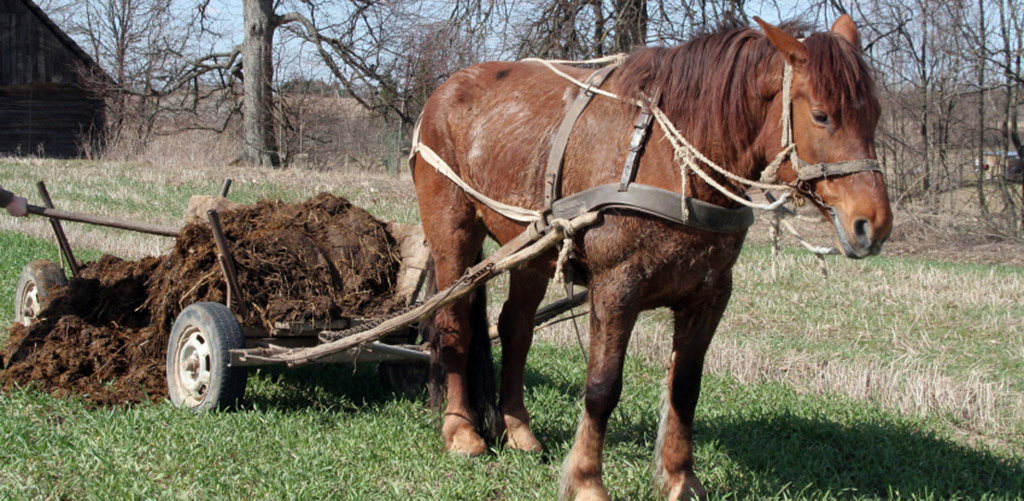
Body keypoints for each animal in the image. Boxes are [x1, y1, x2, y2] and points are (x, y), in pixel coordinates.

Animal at [411, 15, 892, 500]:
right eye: (821, 115)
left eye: (874, 113)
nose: (873, 223)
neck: (668, 158)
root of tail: (445, 89)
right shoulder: (615, 288)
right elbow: (602, 388)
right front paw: (586, 480)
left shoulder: (709, 294)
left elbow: (685, 388)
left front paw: (680, 478)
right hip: (452, 235)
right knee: (453, 326)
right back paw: (461, 430)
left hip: (533, 251)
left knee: (516, 329)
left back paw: (519, 429)